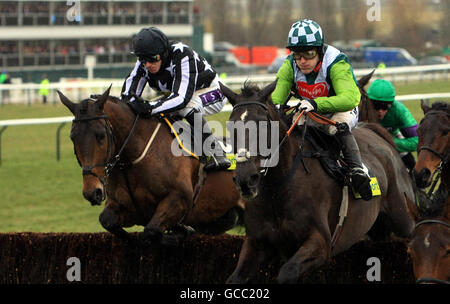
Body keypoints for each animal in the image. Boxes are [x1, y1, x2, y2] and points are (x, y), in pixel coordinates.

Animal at [59, 86, 246, 246]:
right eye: (72, 137)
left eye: (101, 135)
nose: (92, 192)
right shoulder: (125, 207)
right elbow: (108, 221)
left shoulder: (179, 199)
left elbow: (151, 232)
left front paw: (181, 231)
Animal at [220, 80, 416, 282]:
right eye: (231, 126)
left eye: (263, 124)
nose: (246, 179)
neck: (277, 188)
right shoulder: (257, 244)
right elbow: (234, 278)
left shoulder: (320, 244)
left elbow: (287, 272)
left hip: (403, 220)